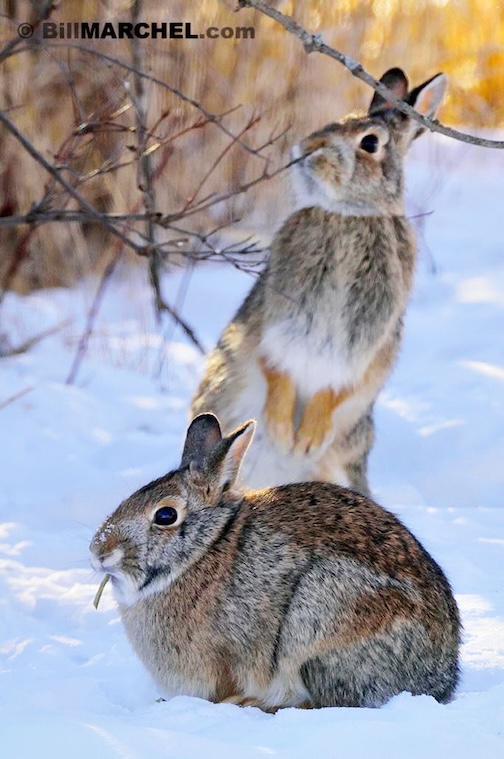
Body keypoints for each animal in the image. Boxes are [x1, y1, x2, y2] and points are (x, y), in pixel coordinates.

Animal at [191, 67, 448, 496]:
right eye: (333, 122)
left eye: (370, 142)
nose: (306, 149)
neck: (347, 214)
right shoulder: (275, 318)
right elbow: (276, 366)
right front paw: (281, 429)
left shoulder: (365, 343)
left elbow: (336, 387)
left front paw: (308, 437)